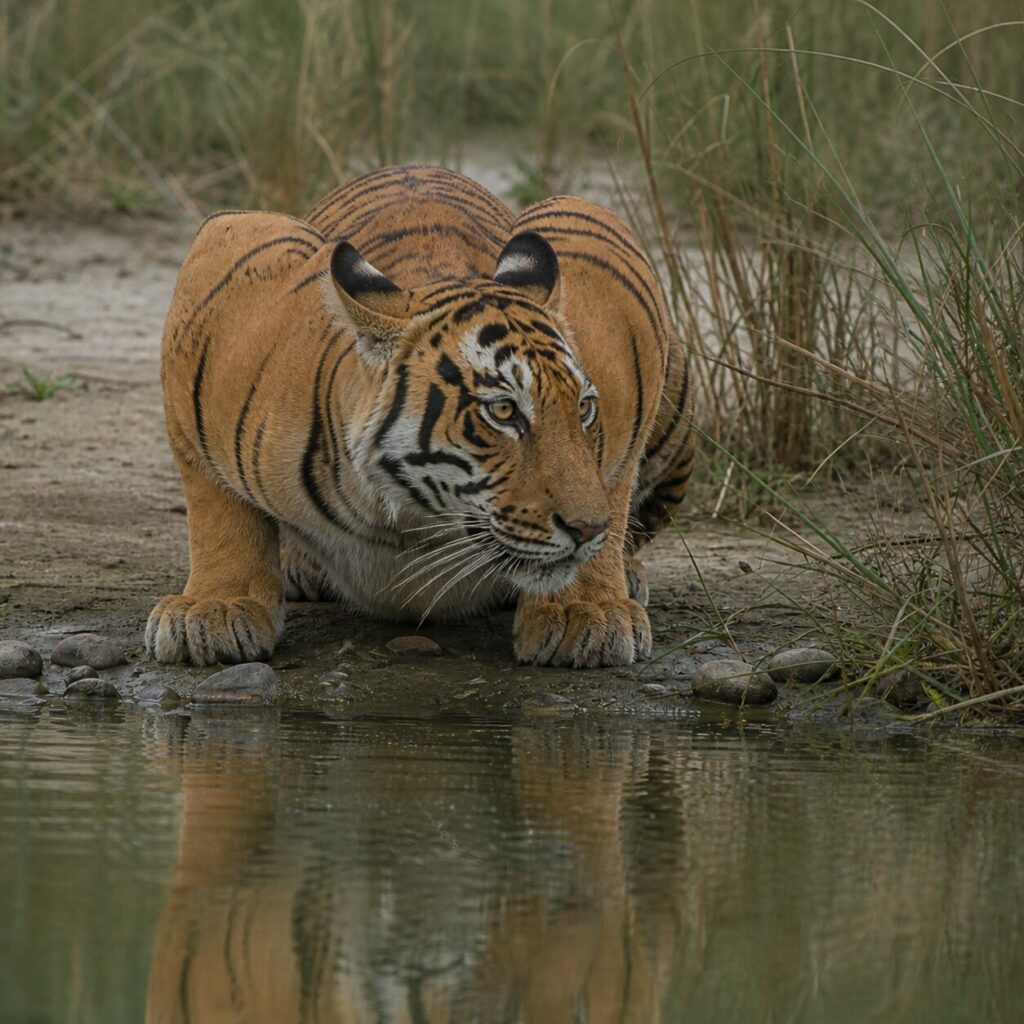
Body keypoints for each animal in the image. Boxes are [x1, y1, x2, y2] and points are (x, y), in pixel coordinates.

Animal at [146, 165, 694, 668]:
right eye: (503, 411)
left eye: (583, 408)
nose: (586, 530)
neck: (413, 520)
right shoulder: (230, 264)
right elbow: (217, 505)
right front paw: (215, 608)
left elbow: (614, 480)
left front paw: (585, 612)